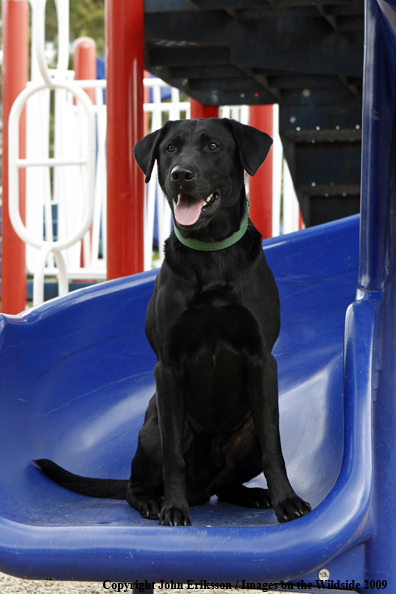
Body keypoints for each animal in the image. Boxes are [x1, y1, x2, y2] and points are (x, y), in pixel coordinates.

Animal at [35, 118, 310, 524]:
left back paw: (253, 495)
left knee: (228, 483)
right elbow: (173, 458)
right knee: (139, 484)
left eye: (213, 146)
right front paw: (173, 508)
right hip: (154, 429)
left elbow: (274, 446)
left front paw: (286, 500)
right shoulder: (167, 367)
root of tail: (204, 486)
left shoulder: (262, 359)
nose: (182, 174)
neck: (211, 255)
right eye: (170, 149)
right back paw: (154, 501)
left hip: (245, 433)